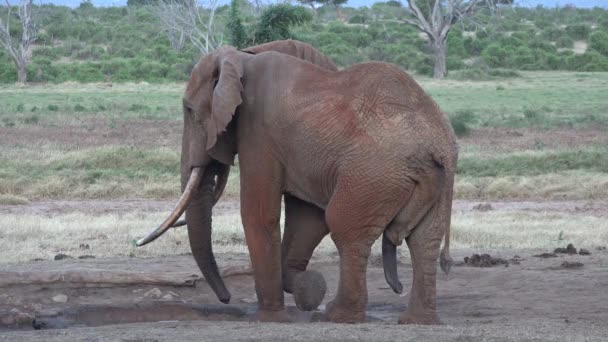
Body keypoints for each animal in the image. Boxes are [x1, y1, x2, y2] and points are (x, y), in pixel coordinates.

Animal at [137, 38, 456, 324]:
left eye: (190, 111)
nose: (225, 298)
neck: (243, 55)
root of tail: (437, 143)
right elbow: (308, 218)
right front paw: (307, 289)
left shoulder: (258, 130)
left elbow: (258, 214)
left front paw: (270, 318)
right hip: (430, 182)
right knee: (425, 240)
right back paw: (417, 321)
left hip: (372, 173)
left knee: (346, 228)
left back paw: (338, 316)